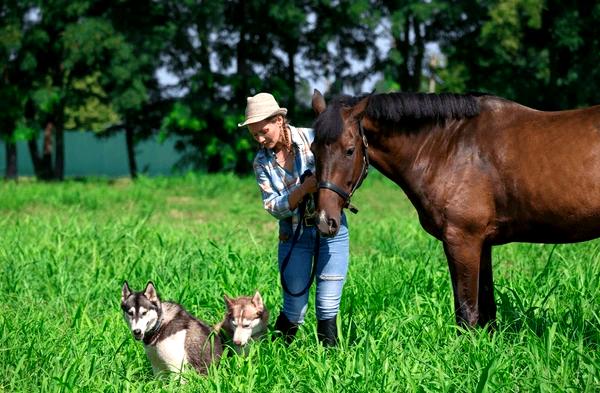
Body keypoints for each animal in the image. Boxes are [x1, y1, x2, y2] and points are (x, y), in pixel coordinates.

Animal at [312, 89, 600, 328]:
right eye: (313, 149)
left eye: (350, 150)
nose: (325, 220)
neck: (449, 147)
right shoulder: (483, 243)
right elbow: (486, 309)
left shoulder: (462, 240)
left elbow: (467, 311)